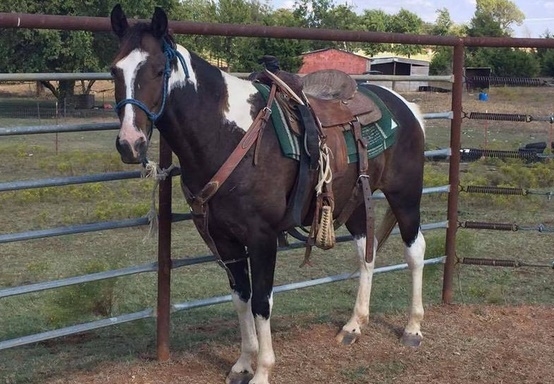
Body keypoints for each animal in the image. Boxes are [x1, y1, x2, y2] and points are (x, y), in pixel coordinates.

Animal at [110, 3, 424, 384]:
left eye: (158, 70)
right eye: (114, 70)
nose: (130, 143)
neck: (228, 134)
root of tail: (405, 106)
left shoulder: (261, 238)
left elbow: (262, 302)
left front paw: (262, 371)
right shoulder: (223, 239)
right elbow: (241, 297)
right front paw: (244, 363)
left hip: (405, 196)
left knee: (415, 251)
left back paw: (412, 329)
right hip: (356, 202)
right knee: (367, 252)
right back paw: (353, 326)